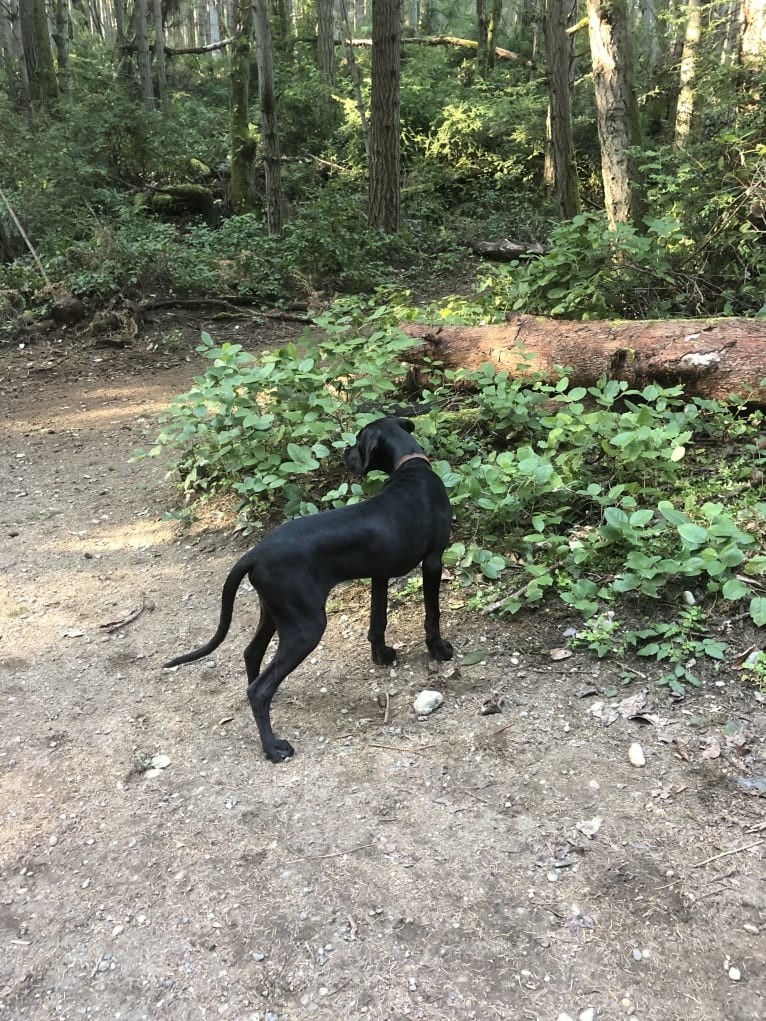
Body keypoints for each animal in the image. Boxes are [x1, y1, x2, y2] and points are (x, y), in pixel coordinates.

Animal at [165, 414, 453, 759]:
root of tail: (255, 553)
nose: (344, 455)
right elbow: (432, 615)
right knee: (258, 689)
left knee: (252, 655)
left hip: (275, 612)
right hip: (306, 626)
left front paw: (382, 655)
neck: (412, 467)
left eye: (357, 442)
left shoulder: (379, 573)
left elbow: (378, 620)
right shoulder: (433, 560)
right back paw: (273, 747)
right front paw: (439, 649)